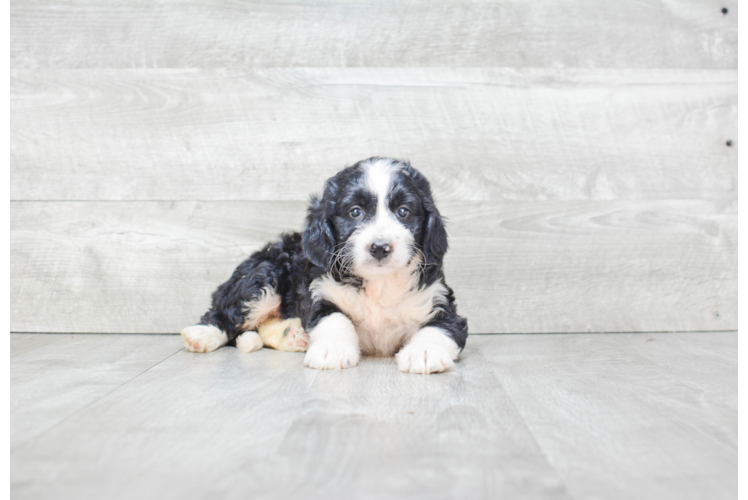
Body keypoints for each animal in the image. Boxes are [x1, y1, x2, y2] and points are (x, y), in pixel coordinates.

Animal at [180, 158, 468, 374]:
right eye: (355, 212)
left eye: (403, 212)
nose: (379, 247)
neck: (379, 284)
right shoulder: (320, 293)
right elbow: (335, 318)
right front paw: (333, 350)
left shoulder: (440, 301)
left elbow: (440, 327)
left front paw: (425, 351)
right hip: (263, 277)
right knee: (227, 312)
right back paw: (203, 334)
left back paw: (292, 334)